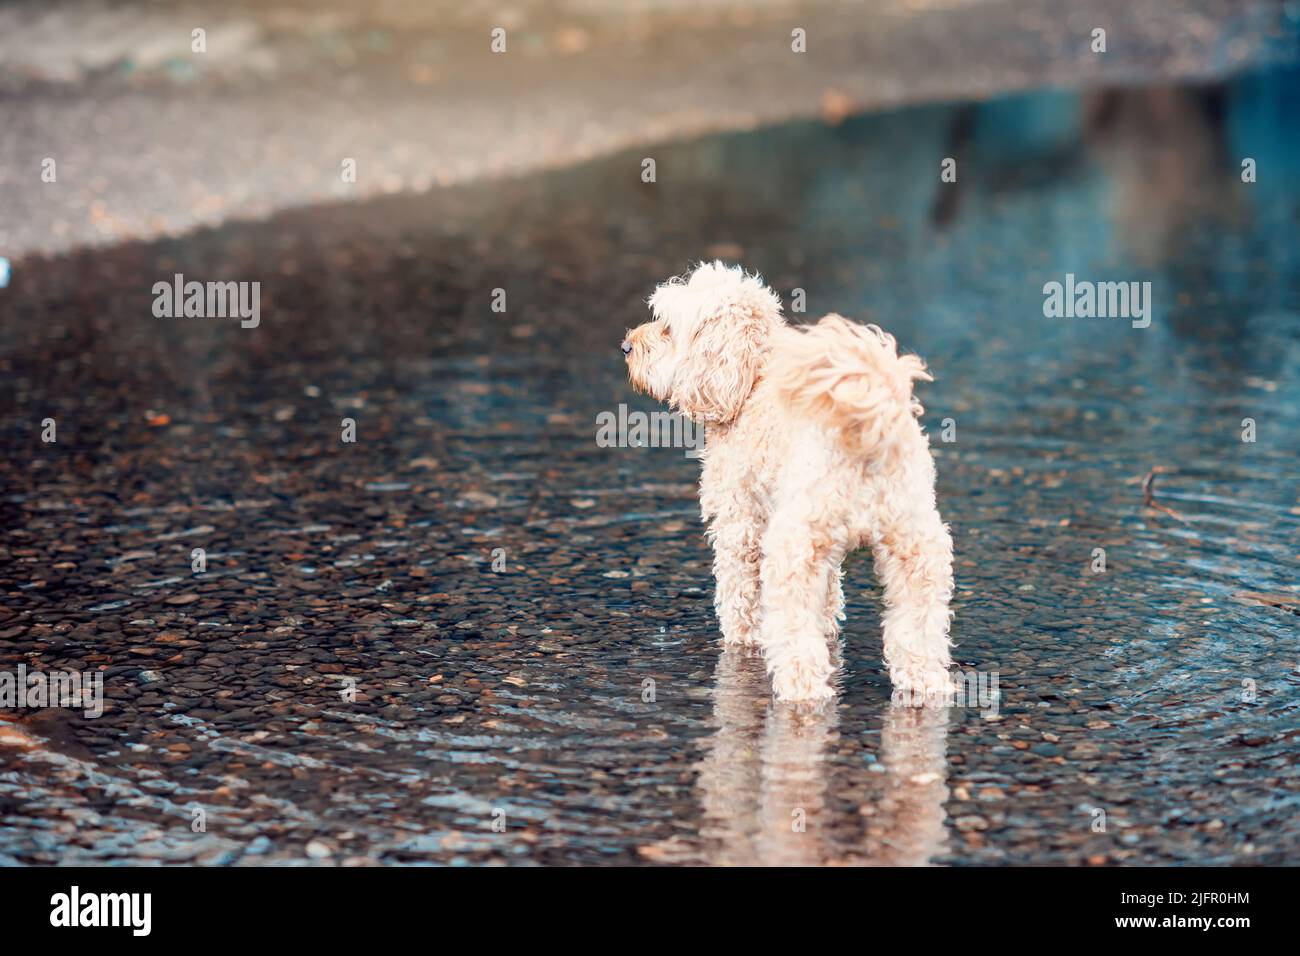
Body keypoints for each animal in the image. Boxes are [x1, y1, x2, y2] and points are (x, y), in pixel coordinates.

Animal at [618, 260, 956, 702]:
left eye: (667, 327)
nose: (626, 346)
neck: (751, 380)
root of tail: (863, 427)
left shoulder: (740, 522)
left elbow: (739, 593)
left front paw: (742, 638)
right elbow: (829, 597)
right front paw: (829, 626)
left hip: (795, 544)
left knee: (793, 628)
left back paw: (802, 687)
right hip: (916, 545)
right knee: (919, 627)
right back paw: (925, 681)